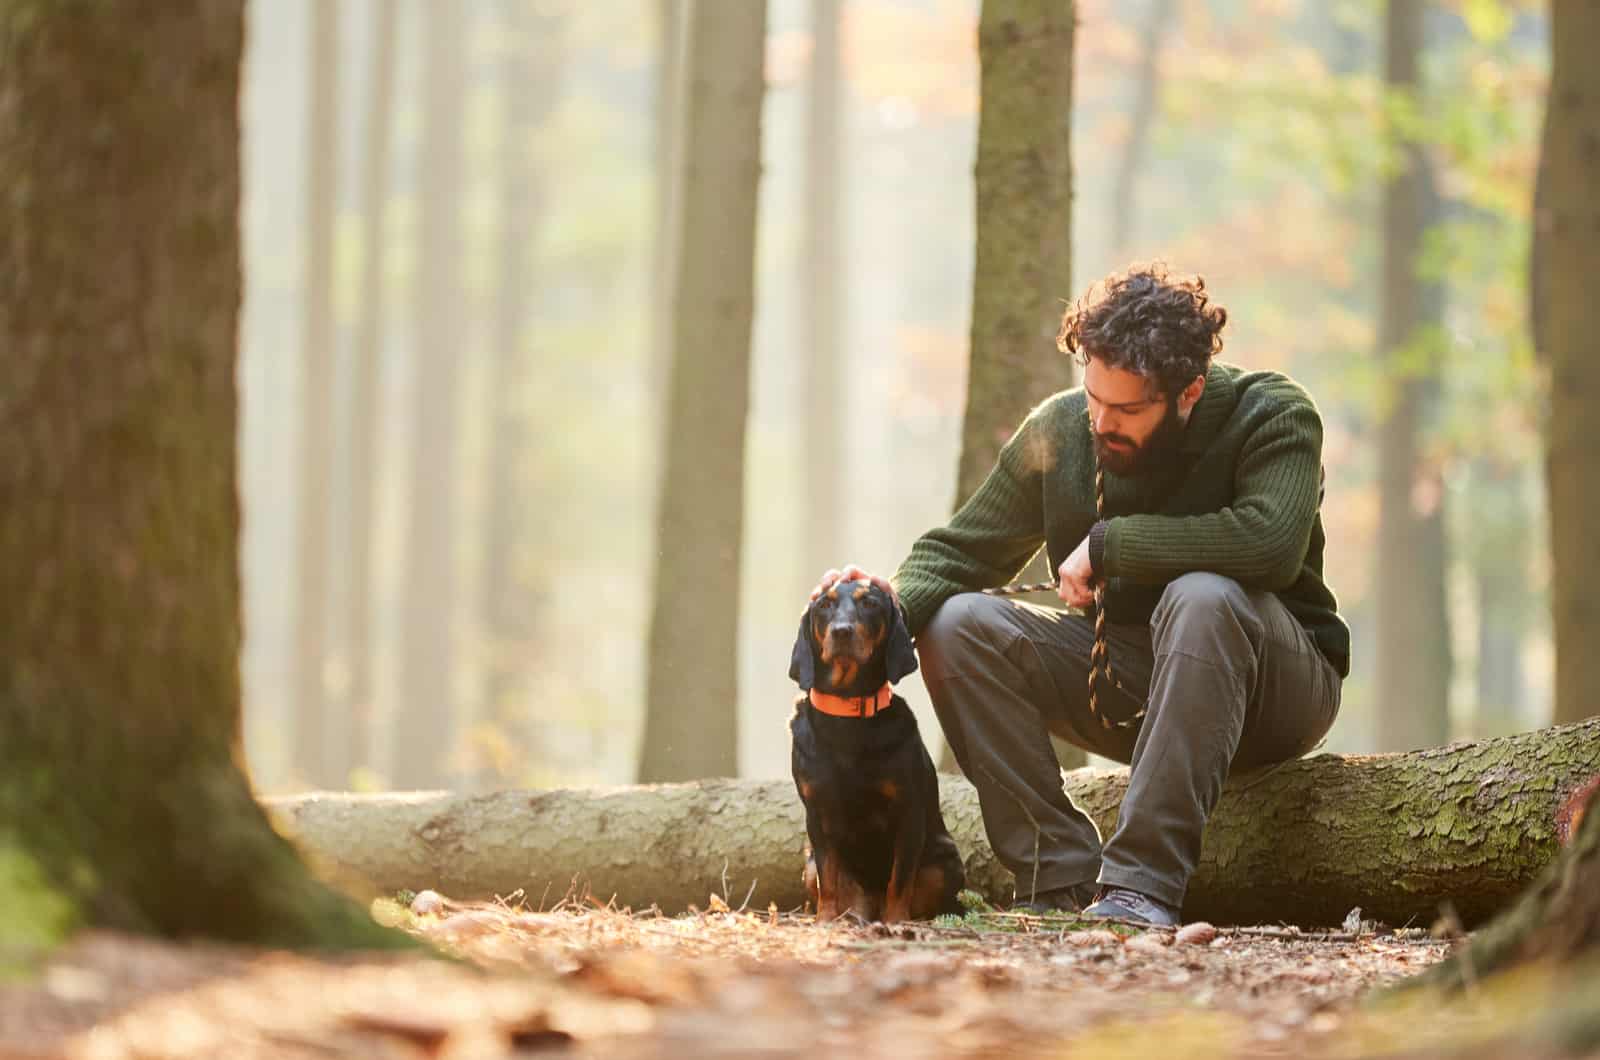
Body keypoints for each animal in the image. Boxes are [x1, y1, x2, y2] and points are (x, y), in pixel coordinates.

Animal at [787, 582, 960, 922]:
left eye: (869, 603)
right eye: (824, 605)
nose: (841, 631)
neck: (848, 712)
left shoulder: (908, 812)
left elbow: (900, 879)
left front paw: (896, 922)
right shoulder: (818, 813)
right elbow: (828, 878)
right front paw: (824, 920)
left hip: (945, 862)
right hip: (809, 864)